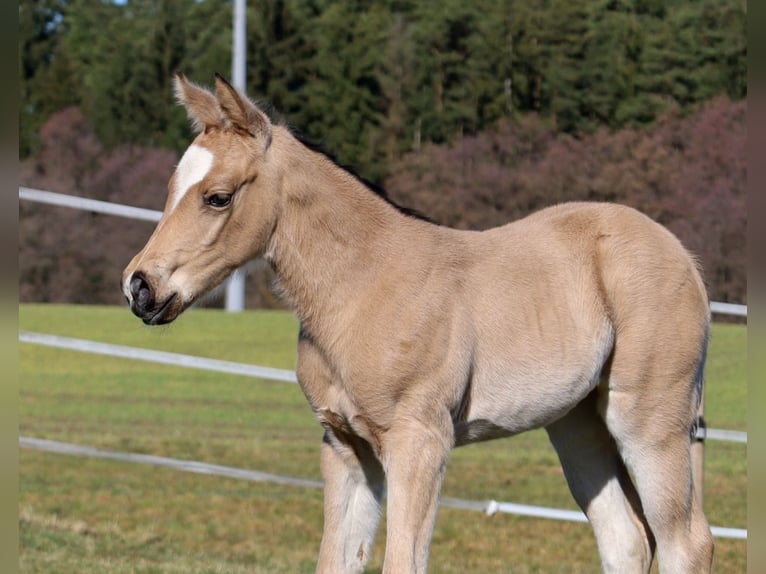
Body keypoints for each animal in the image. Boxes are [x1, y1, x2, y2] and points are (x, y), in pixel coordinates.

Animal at [122, 74, 714, 574]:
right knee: (626, 538)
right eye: (171, 188)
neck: (362, 287)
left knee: (686, 542)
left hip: (649, 420)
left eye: (218, 197)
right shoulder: (347, 447)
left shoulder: (419, 442)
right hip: (577, 422)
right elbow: (338, 561)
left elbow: (403, 562)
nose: (139, 288)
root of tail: (684, 256)